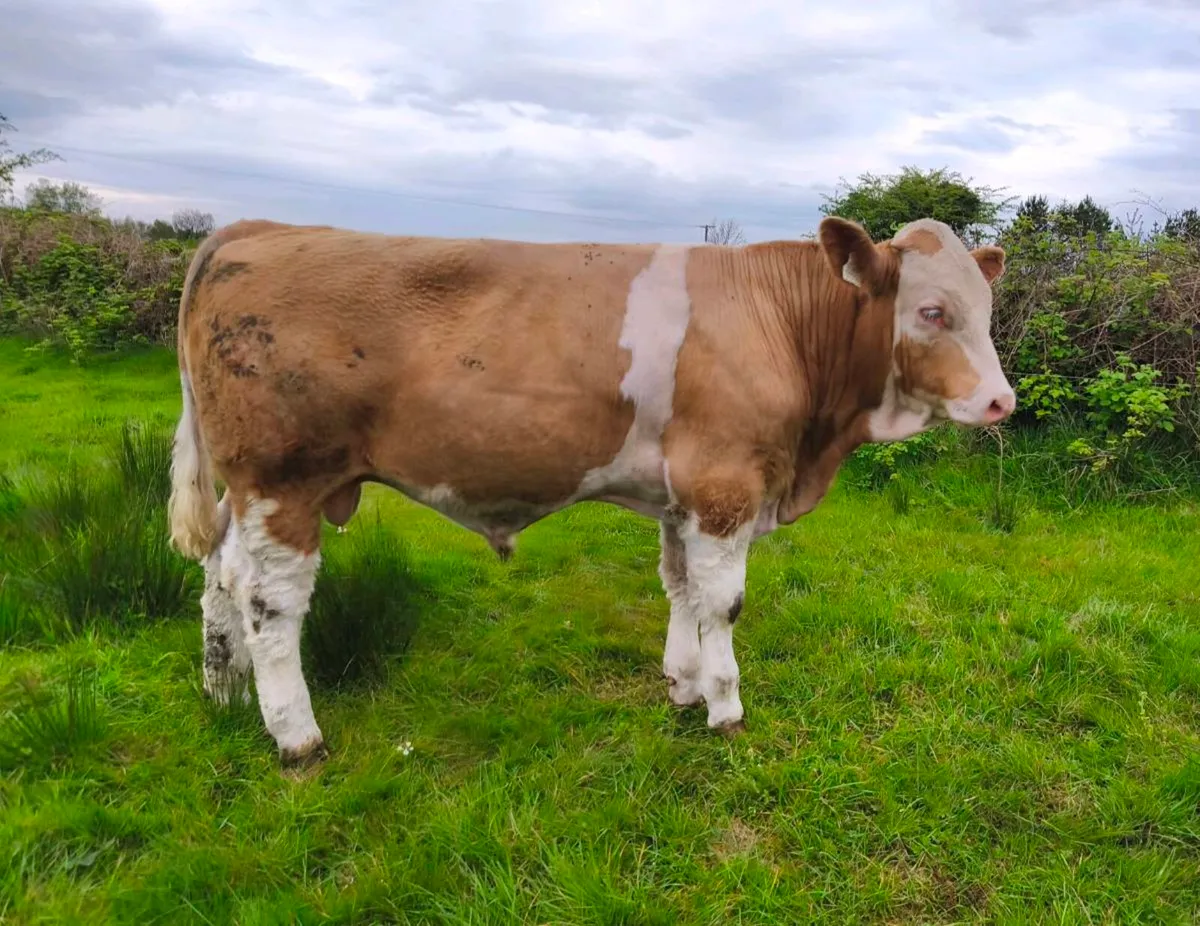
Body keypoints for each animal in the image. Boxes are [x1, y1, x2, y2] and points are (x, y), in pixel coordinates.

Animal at [167, 215, 1014, 767]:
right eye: (932, 311)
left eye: (987, 309)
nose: (1000, 402)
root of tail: (256, 227)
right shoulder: (726, 485)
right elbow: (723, 604)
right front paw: (726, 707)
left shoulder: (682, 494)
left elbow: (679, 587)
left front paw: (683, 685)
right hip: (282, 480)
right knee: (270, 602)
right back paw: (296, 737)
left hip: (243, 492)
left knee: (218, 578)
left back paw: (223, 692)